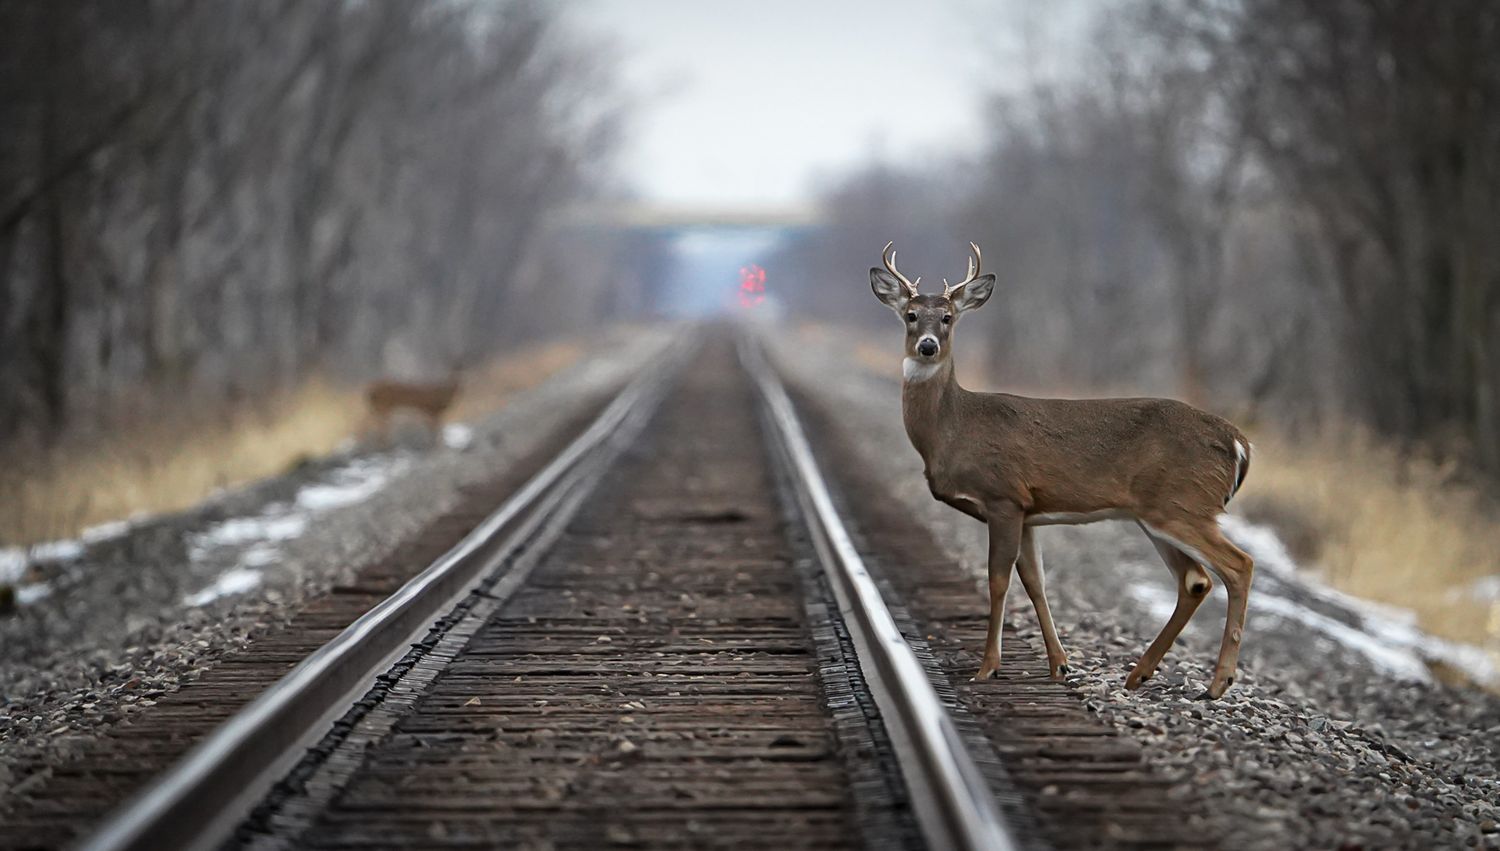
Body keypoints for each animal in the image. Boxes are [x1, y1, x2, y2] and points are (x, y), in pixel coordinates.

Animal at [870, 242, 1255, 699]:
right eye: (911, 315)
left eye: (947, 317)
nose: (927, 346)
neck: (952, 429)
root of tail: (1238, 442)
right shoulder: (1027, 510)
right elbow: (1035, 581)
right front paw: (1059, 665)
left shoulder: (1002, 495)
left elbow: (998, 580)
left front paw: (988, 667)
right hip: (1159, 514)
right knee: (1195, 581)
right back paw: (1139, 674)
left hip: (1184, 504)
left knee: (1239, 565)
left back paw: (1218, 682)